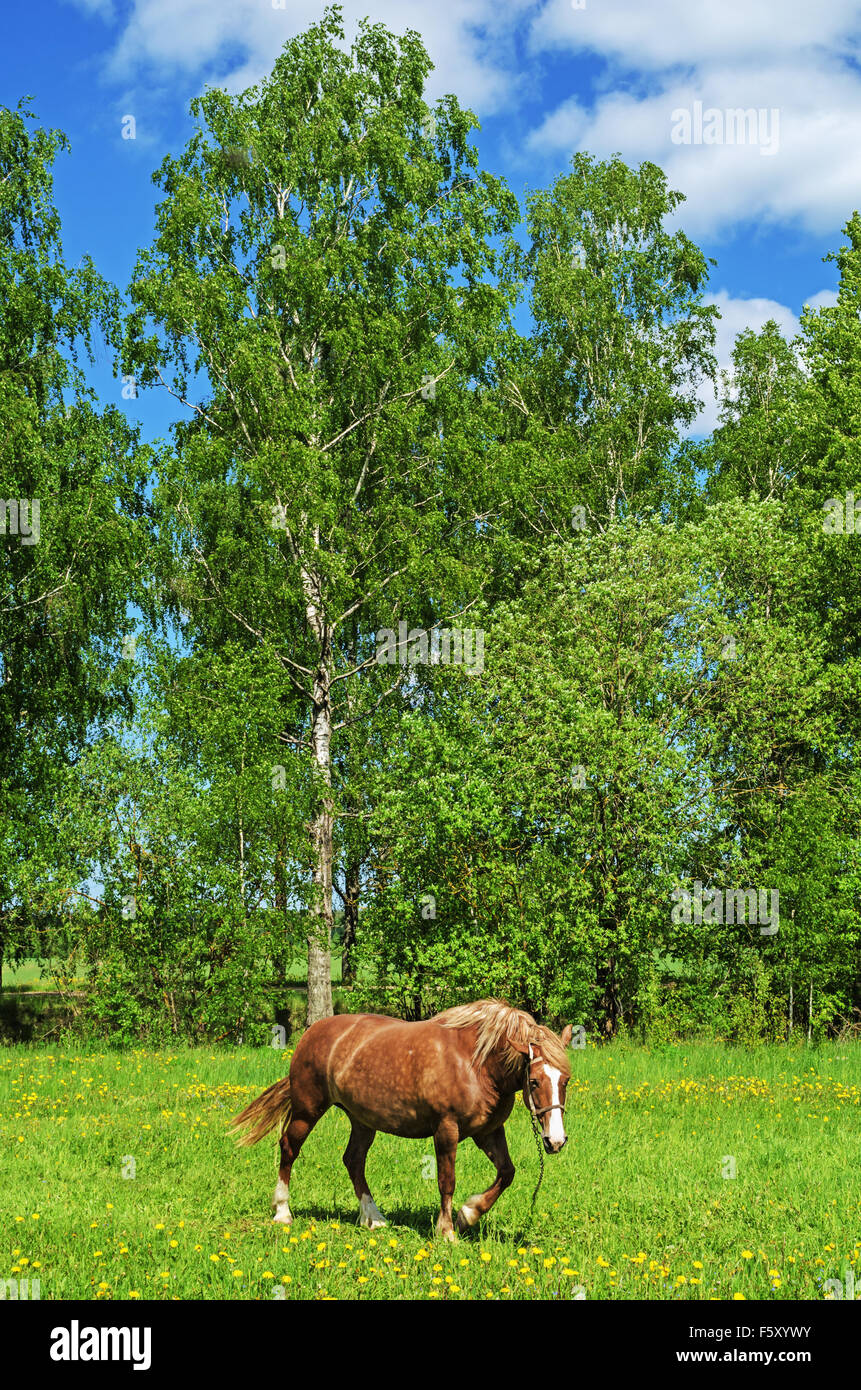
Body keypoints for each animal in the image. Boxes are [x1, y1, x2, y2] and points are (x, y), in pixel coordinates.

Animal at [229, 1000, 573, 1239]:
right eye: (534, 1082)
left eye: (566, 1080)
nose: (556, 1141)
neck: (476, 1064)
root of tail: (311, 1032)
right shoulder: (446, 1130)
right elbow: (447, 1180)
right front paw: (446, 1230)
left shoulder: (488, 1131)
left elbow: (507, 1173)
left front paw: (468, 1214)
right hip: (307, 1110)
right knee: (289, 1148)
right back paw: (283, 1211)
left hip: (362, 1121)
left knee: (353, 1160)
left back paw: (374, 1217)